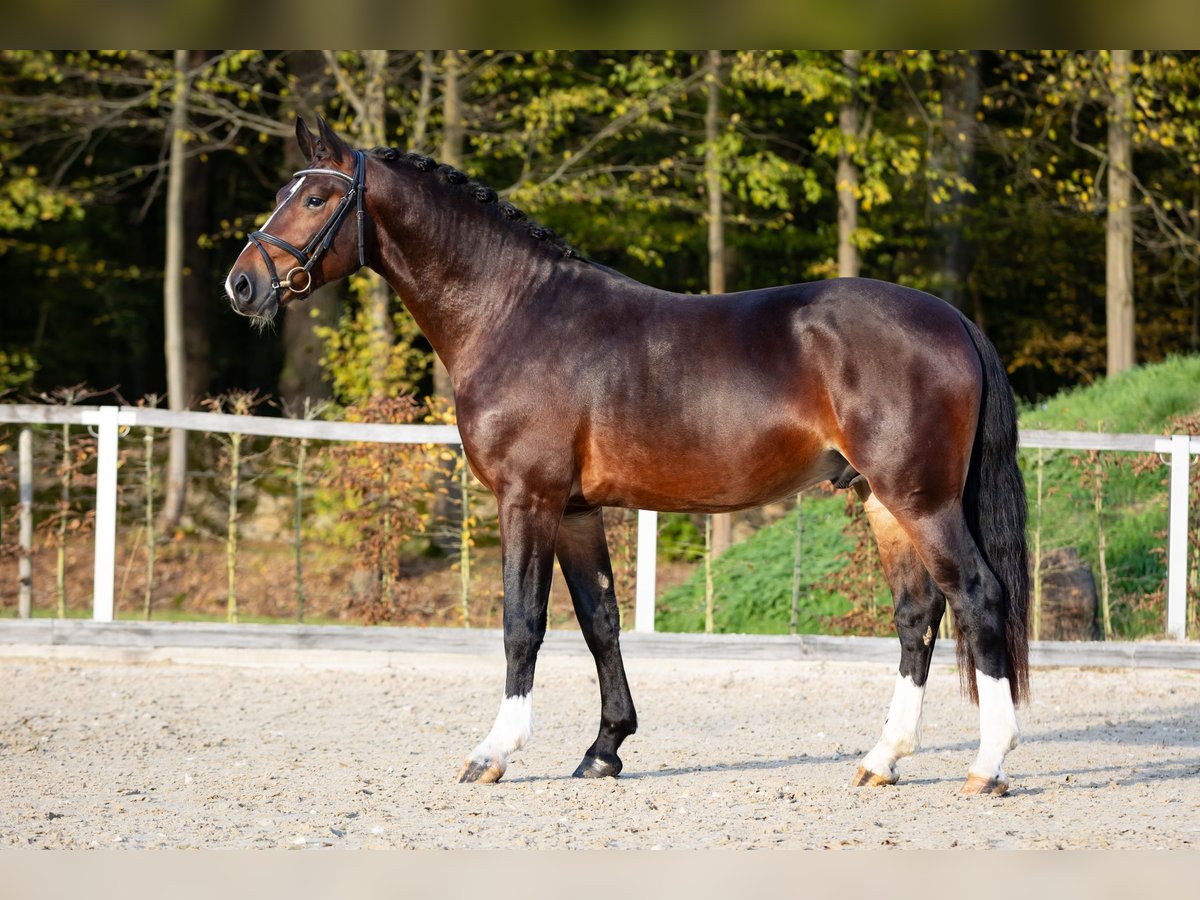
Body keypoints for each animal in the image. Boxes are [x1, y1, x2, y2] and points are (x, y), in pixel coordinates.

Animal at [226, 118, 1032, 796]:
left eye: (318, 197)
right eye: (281, 193)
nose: (242, 284)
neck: (512, 313)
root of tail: (952, 318)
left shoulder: (528, 498)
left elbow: (523, 621)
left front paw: (494, 752)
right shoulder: (577, 511)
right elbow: (599, 623)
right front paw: (604, 749)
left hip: (920, 500)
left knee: (979, 597)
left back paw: (988, 765)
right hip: (882, 499)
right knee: (917, 614)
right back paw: (882, 759)